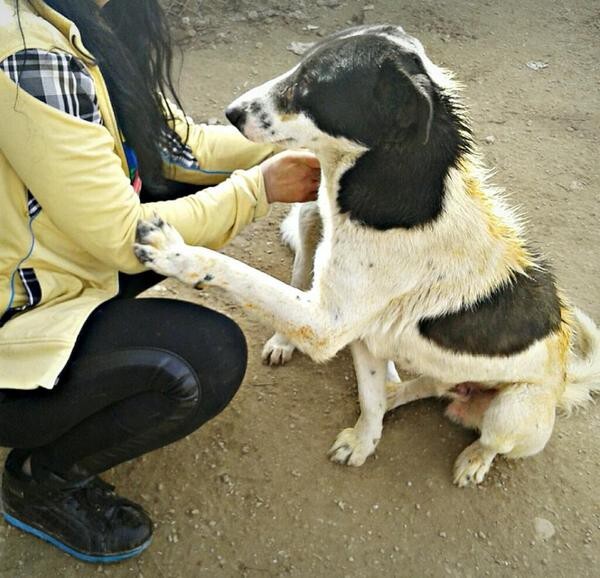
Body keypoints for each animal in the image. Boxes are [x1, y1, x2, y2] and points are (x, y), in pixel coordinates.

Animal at [136, 24, 600, 484]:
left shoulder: (324, 325)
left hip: (512, 412)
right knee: (414, 388)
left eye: (309, 83)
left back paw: (474, 460)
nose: (230, 113)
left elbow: (236, 271)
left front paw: (175, 252)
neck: (388, 182)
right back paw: (398, 391)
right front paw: (363, 442)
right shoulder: (356, 331)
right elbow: (369, 398)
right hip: (434, 371)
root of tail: (563, 381)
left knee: (492, 439)